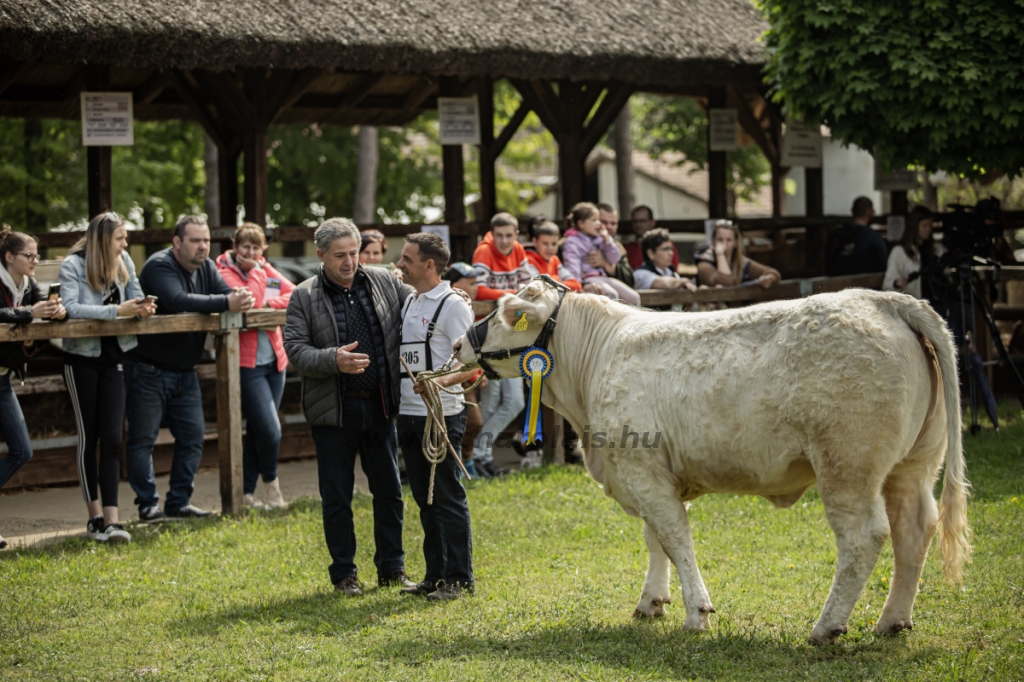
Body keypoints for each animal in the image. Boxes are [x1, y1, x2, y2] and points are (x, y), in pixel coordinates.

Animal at [456, 278, 966, 638]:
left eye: (511, 313)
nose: (460, 343)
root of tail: (883, 299)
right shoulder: (649, 472)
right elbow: (656, 539)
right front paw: (652, 601)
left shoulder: (641, 469)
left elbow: (675, 536)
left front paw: (696, 611)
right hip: (914, 465)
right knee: (915, 529)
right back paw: (892, 620)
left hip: (847, 464)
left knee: (864, 537)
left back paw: (827, 626)